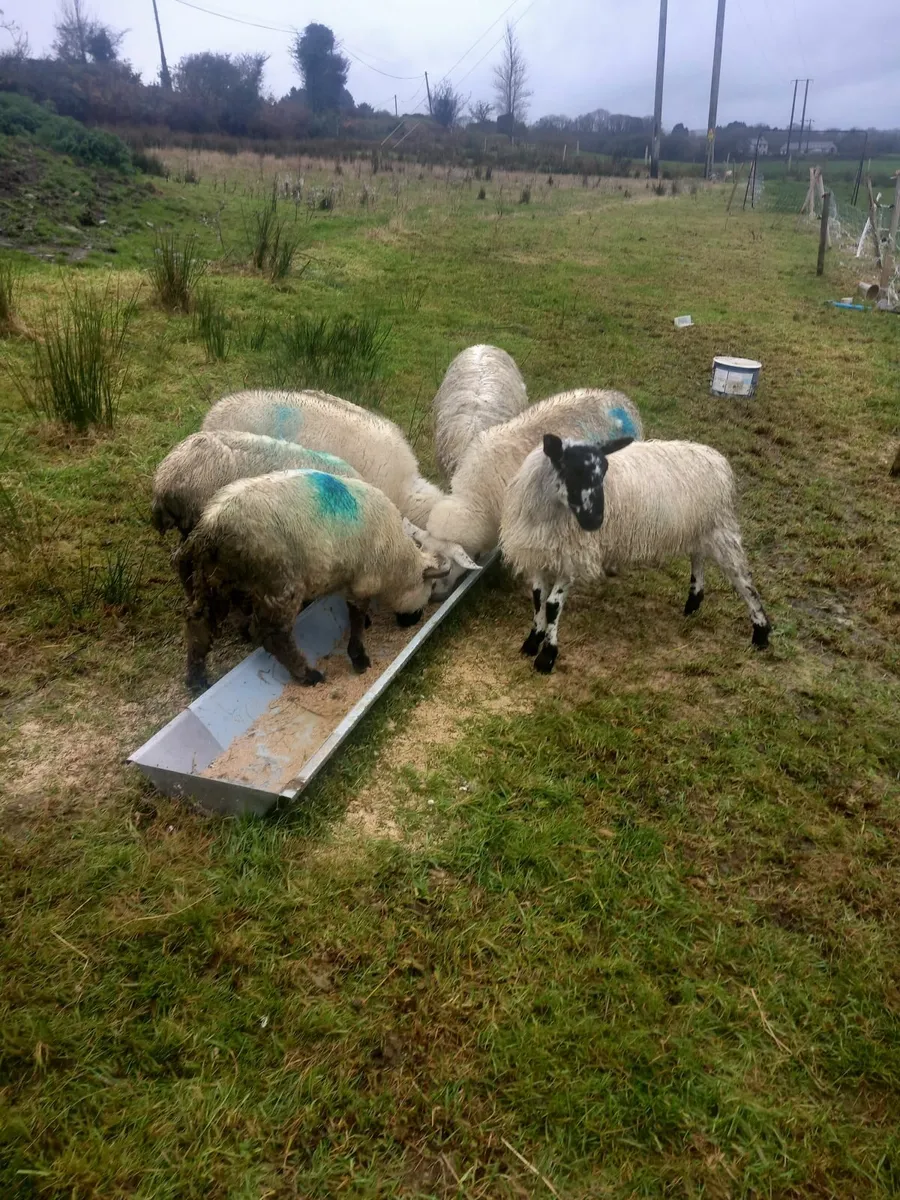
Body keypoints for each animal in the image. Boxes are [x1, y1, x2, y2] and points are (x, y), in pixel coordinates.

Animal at [174, 469, 454, 694]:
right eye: (428, 588)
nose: (413, 621)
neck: (396, 560)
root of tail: (209, 527)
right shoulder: (362, 581)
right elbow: (355, 617)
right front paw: (359, 658)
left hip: (214, 580)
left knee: (199, 623)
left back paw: (196, 679)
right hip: (279, 584)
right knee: (272, 635)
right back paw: (308, 675)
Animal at [500, 435, 772, 674]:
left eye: (604, 472)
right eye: (572, 470)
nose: (595, 521)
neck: (550, 511)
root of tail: (718, 459)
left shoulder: (574, 557)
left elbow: (553, 605)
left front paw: (546, 656)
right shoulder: (537, 554)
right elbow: (538, 598)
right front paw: (532, 641)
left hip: (720, 529)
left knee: (742, 577)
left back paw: (760, 632)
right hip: (698, 528)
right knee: (698, 558)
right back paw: (694, 602)